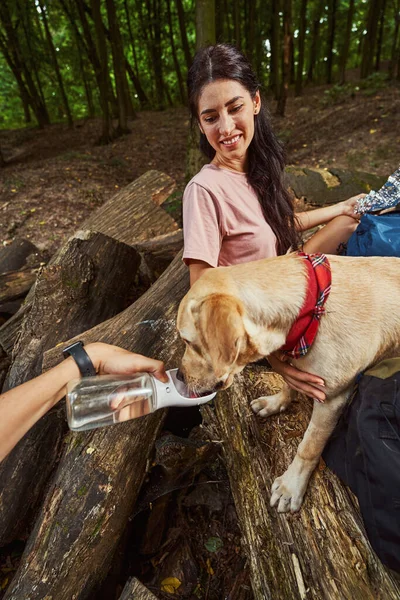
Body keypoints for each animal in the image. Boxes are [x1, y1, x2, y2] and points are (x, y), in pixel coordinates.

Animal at [177, 252, 400, 510]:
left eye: (188, 342)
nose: (179, 376)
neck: (312, 311)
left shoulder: (331, 398)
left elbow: (309, 446)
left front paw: (291, 486)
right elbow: (288, 383)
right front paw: (276, 403)